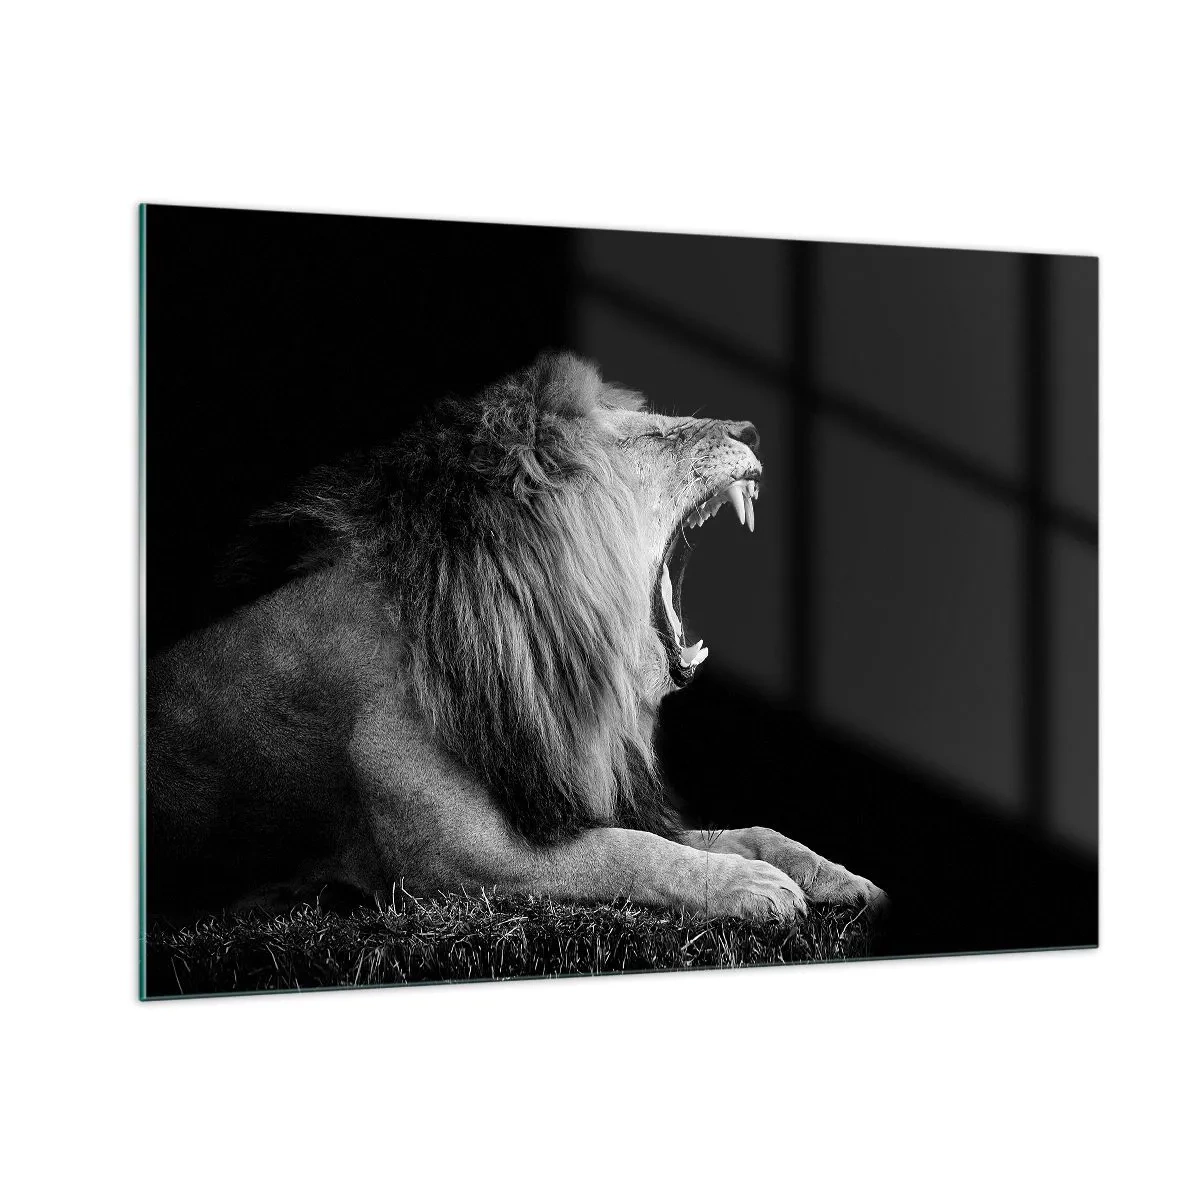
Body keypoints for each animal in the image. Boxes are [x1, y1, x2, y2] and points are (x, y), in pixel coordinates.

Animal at [146, 352, 885, 923]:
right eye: (649, 437)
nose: (752, 428)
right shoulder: (459, 863)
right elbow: (629, 852)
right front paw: (750, 886)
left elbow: (744, 830)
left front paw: (832, 874)